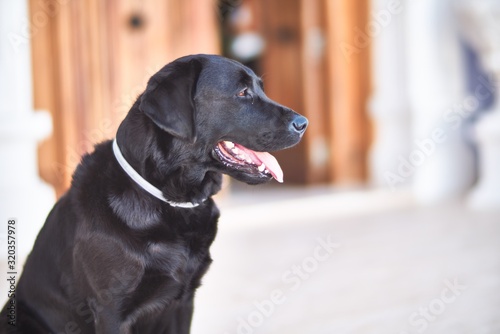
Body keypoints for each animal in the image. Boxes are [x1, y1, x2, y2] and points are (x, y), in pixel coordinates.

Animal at [1, 54, 306, 334]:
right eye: (242, 92)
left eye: (260, 89)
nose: (304, 123)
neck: (170, 201)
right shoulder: (111, 310)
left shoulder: (184, 300)